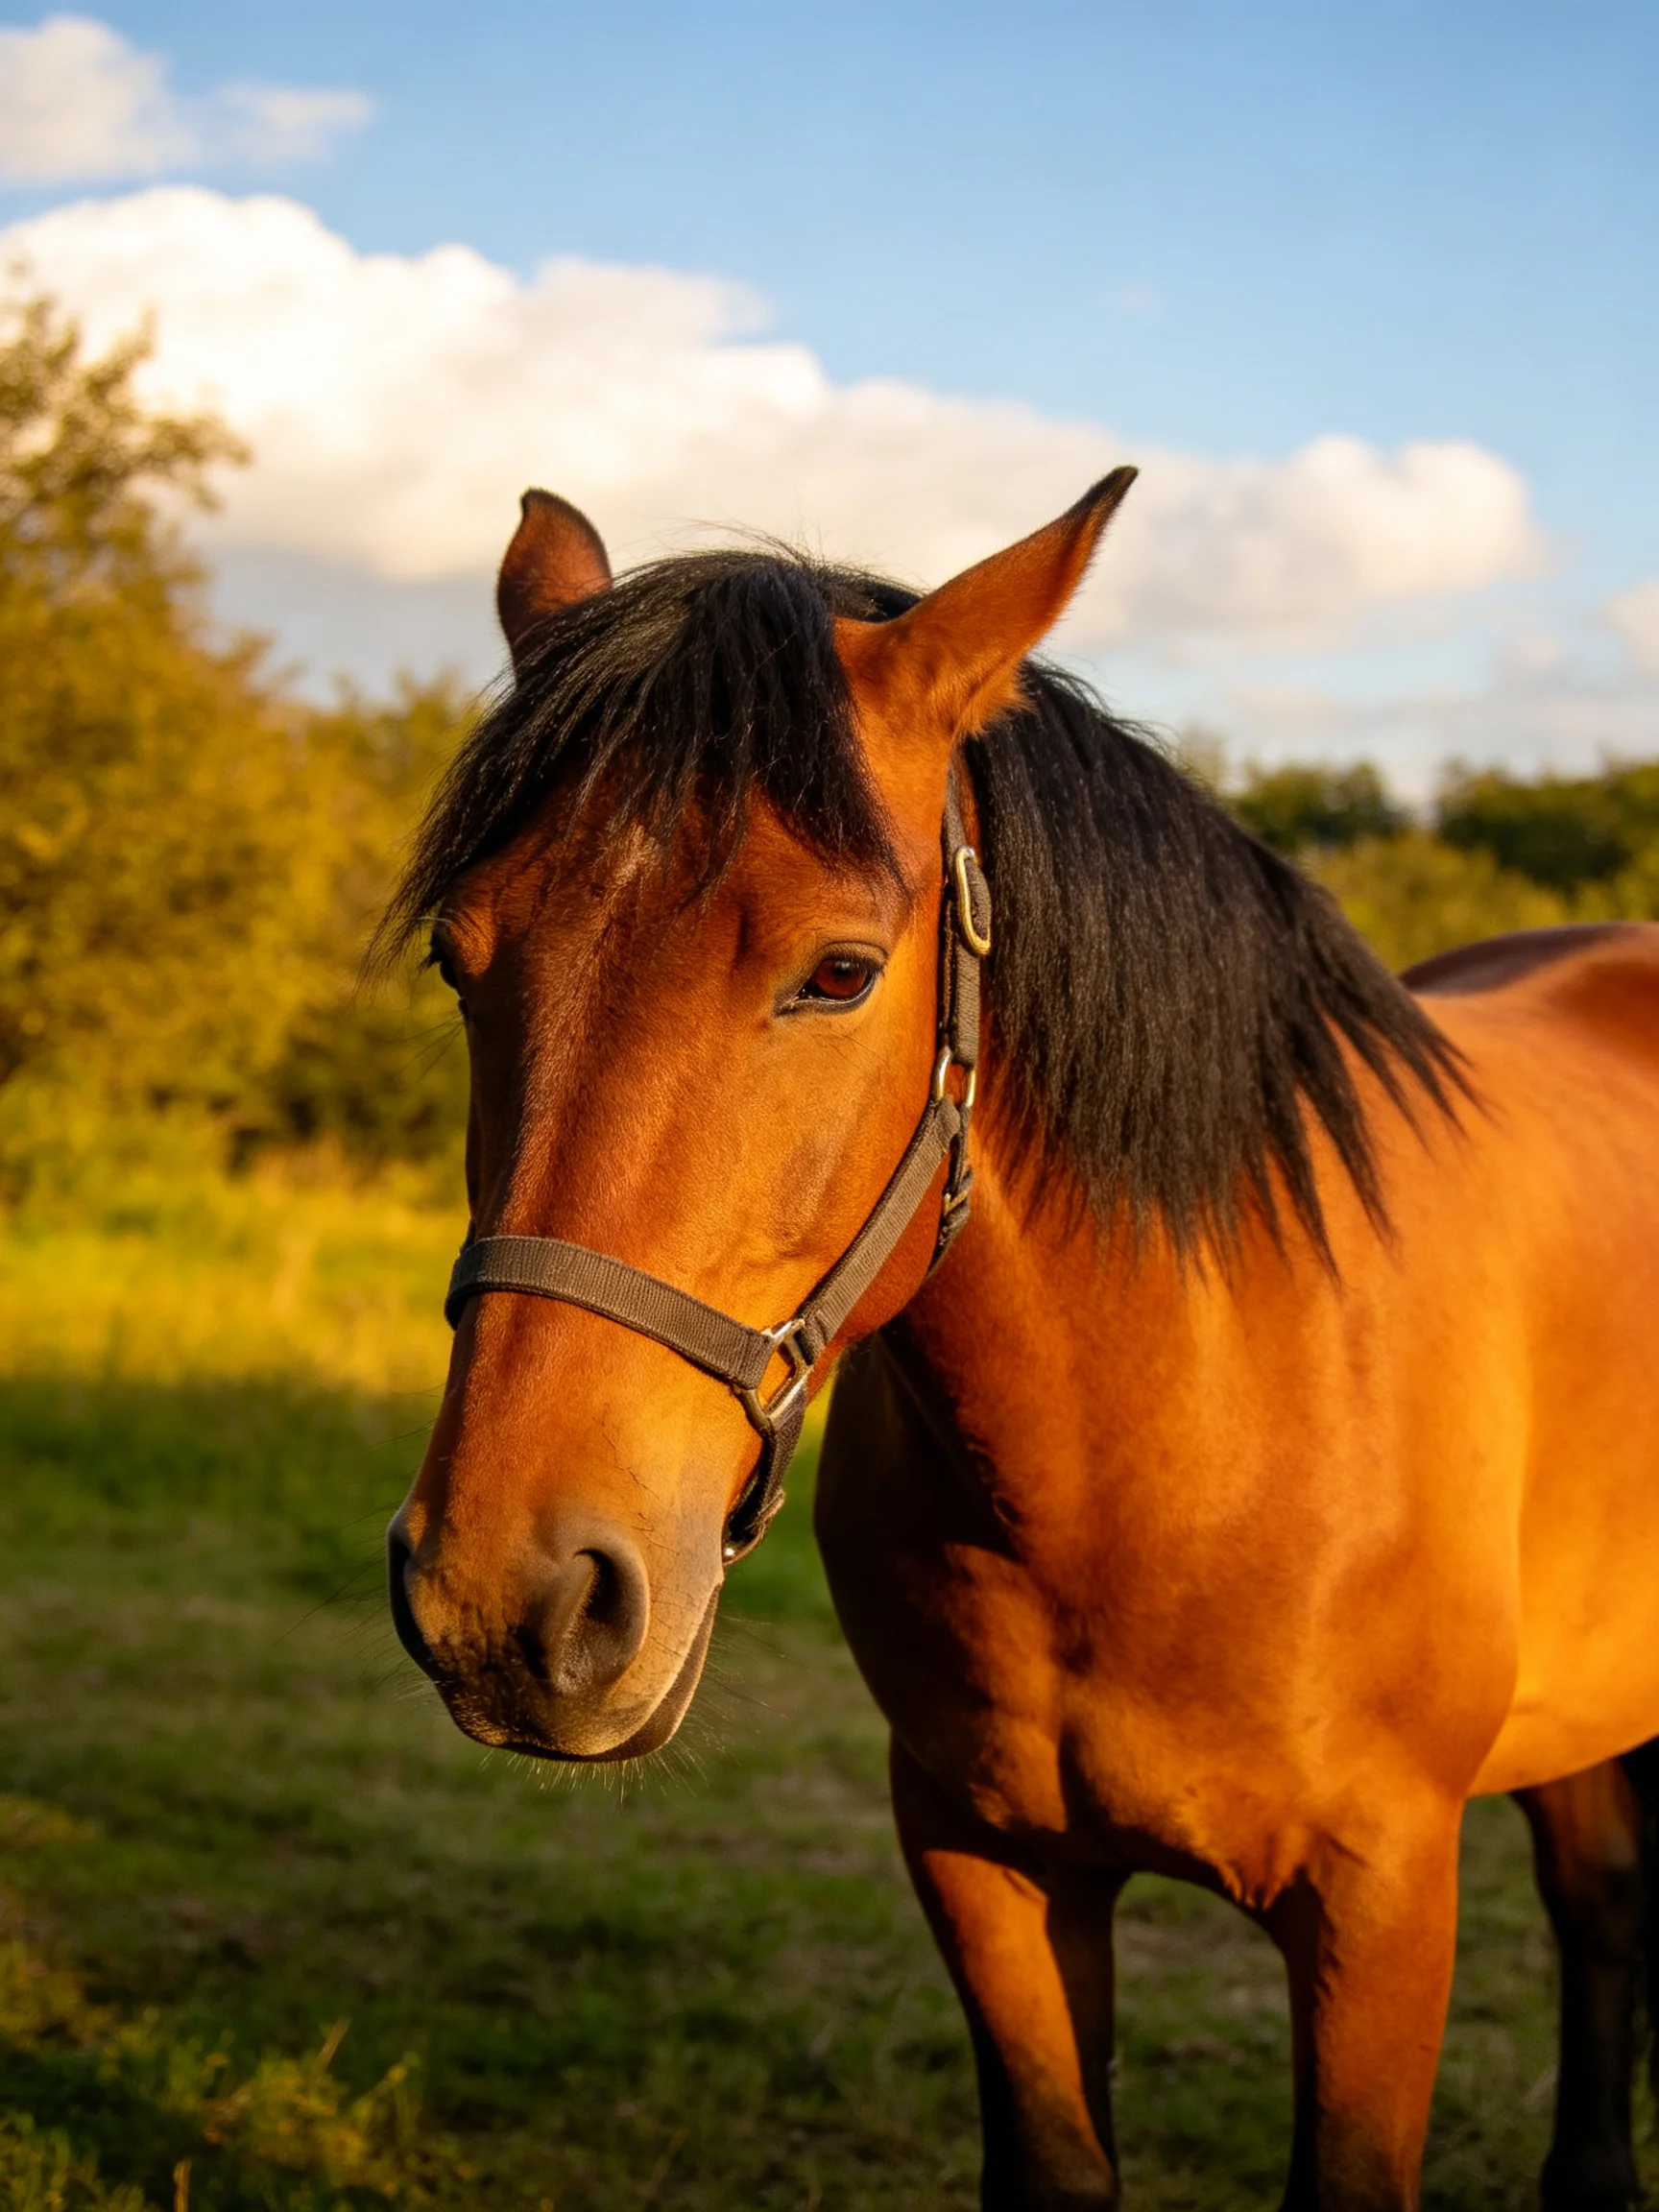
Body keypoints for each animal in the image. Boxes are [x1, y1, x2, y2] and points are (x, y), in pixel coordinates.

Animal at [382, 474, 1659, 2210]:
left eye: (839, 972)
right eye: (462, 962)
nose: (508, 1602)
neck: (1182, 1435)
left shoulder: (1382, 1898)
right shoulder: (983, 1857)